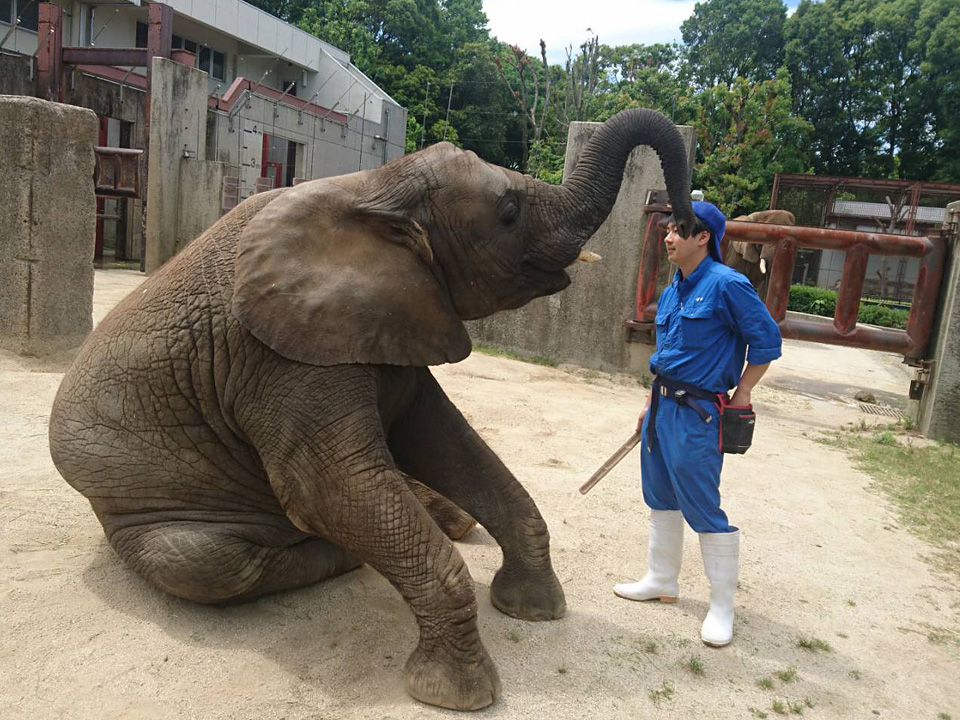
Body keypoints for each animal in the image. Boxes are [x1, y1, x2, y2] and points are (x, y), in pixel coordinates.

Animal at [48, 105, 692, 708]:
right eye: (508, 212)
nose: (683, 221)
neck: (373, 189)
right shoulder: (275, 356)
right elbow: (330, 487)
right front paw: (457, 695)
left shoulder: (389, 316)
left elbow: (441, 439)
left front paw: (532, 611)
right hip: (138, 514)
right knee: (211, 563)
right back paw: (342, 553)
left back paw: (445, 518)